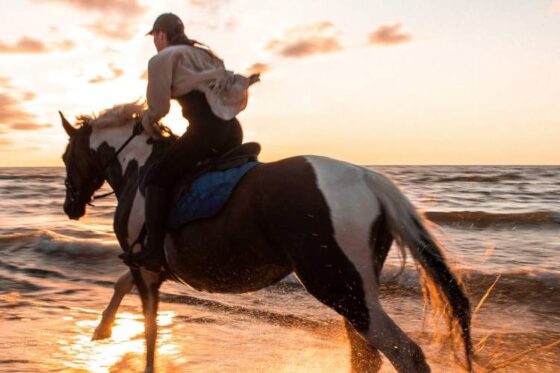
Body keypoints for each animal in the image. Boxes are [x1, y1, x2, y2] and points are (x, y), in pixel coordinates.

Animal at [60, 102, 472, 372]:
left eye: (66, 156)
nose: (70, 206)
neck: (140, 169)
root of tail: (368, 179)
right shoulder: (147, 264)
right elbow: (121, 284)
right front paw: (102, 329)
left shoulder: (146, 268)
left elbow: (149, 333)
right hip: (352, 289)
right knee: (366, 355)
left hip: (339, 285)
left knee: (403, 353)